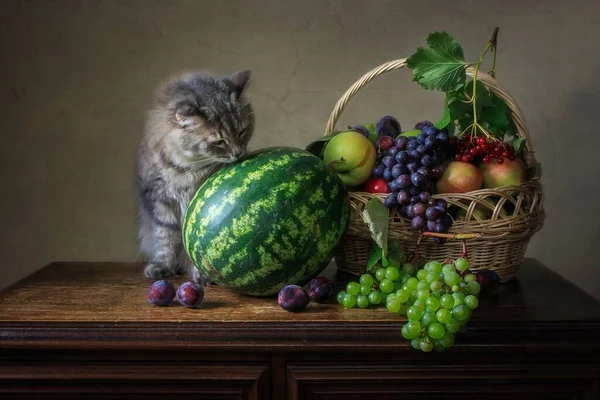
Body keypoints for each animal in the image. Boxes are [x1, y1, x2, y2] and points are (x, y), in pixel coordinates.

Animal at [135, 69, 254, 282]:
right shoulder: (159, 200)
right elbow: (165, 239)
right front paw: (163, 267)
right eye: (219, 141)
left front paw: (202, 274)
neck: (185, 170)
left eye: (242, 131)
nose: (238, 152)